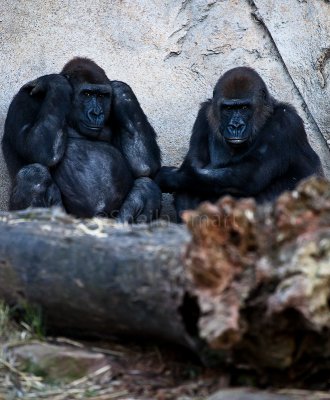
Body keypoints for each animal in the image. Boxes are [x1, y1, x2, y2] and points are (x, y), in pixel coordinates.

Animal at [2, 57, 162, 223]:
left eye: (102, 96)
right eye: (86, 94)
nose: (96, 113)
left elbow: (144, 166)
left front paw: (120, 89)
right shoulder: (24, 100)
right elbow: (36, 149)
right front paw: (55, 81)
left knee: (147, 184)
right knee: (34, 174)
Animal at [156, 67, 324, 220]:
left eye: (244, 107)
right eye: (228, 108)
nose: (236, 126)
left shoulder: (285, 123)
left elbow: (251, 174)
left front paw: (169, 176)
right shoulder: (203, 114)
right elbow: (195, 161)